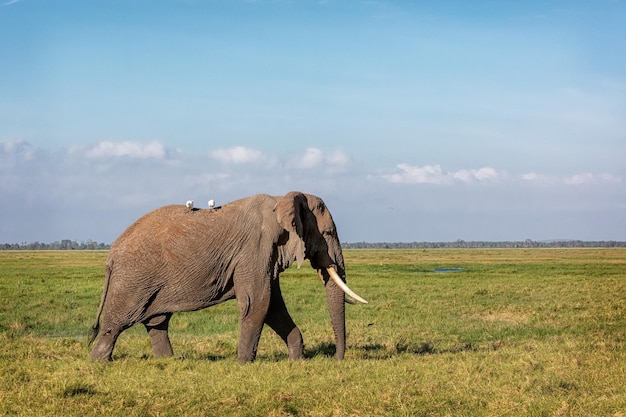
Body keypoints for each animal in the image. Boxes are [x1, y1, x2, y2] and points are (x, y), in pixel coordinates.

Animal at [88, 192, 366, 360]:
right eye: (327, 234)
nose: (336, 360)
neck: (282, 199)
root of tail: (111, 254)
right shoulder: (255, 250)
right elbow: (258, 303)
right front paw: (243, 364)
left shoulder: (265, 257)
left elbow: (274, 306)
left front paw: (296, 361)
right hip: (133, 279)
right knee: (116, 324)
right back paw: (99, 362)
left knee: (157, 322)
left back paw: (170, 362)